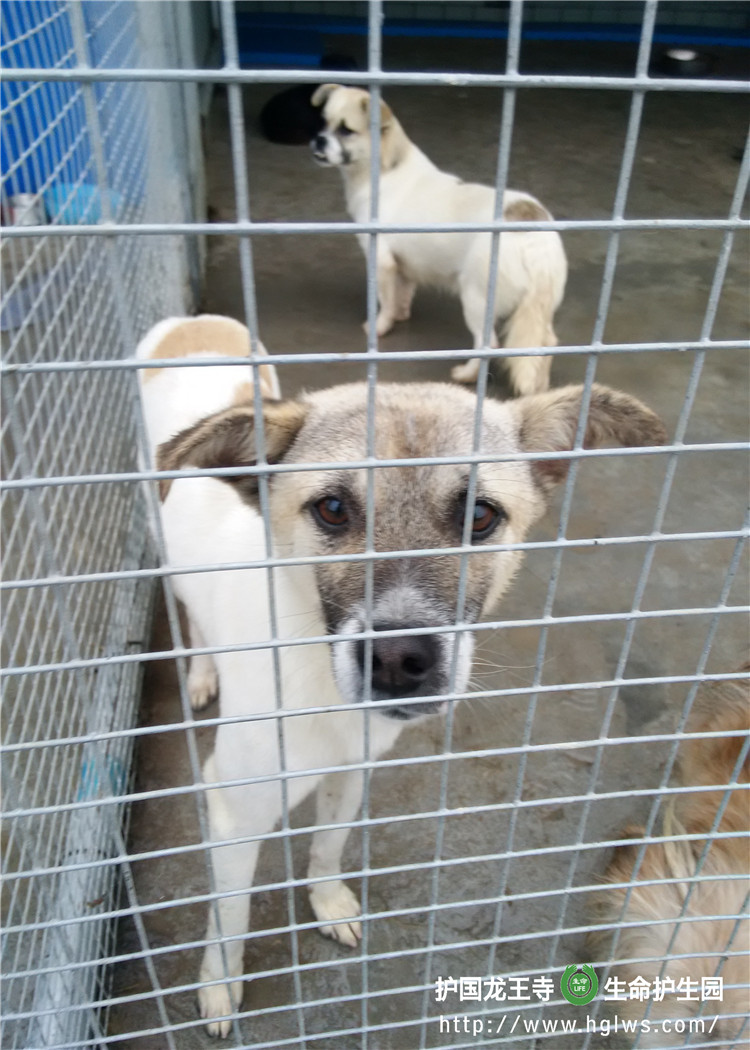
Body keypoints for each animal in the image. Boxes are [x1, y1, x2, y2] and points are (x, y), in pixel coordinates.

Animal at [138, 315, 665, 1036]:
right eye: (332, 509)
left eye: (479, 515)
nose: (399, 660)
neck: (315, 665)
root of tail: (191, 324)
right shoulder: (233, 809)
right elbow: (230, 914)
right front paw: (219, 986)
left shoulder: (352, 770)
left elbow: (328, 846)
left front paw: (328, 903)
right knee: (188, 615)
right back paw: (200, 675)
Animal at [311, 84, 568, 396]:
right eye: (323, 123)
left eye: (346, 130)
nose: (318, 140)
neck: (383, 169)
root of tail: (531, 231)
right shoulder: (403, 266)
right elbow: (402, 295)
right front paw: (401, 315)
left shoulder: (381, 262)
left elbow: (385, 301)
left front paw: (380, 327)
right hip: (539, 307)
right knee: (546, 343)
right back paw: (541, 388)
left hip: (475, 298)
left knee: (488, 343)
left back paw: (467, 374)